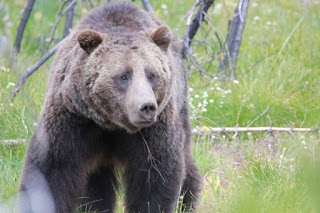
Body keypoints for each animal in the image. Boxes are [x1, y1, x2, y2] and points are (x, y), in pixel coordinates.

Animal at [18, 2, 201, 213]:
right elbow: (52, 169)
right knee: (96, 184)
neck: (111, 123)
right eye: (123, 76)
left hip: (181, 105)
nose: (146, 106)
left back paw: (187, 200)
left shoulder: (154, 131)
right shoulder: (72, 119)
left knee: (187, 163)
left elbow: (155, 174)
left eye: (152, 74)